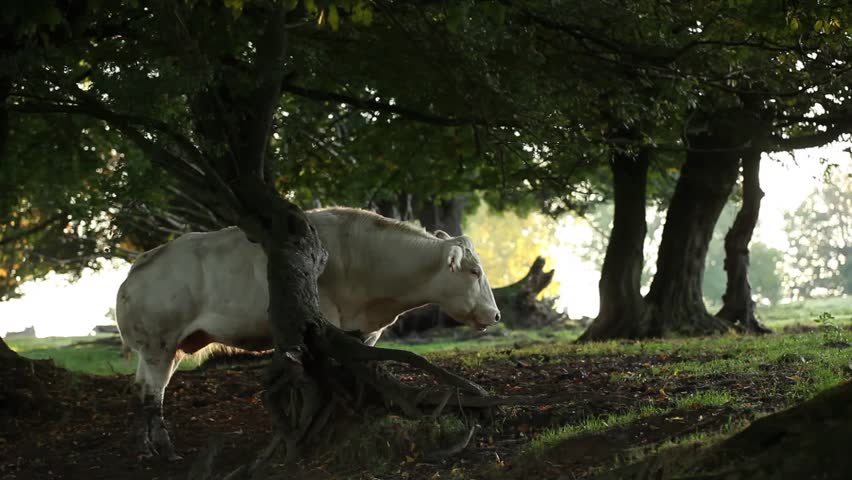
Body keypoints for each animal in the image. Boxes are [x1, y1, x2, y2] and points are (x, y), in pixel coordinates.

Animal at [116, 207, 500, 459]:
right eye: (474, 271)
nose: (495, 315)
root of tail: (140, 264)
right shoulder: (321, 326)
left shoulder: (361, 333)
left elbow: (359, 375)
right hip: (159, 344)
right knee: (152, 392)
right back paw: (164, 449)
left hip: (166, 349)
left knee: (143, 388)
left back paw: (148, 447)